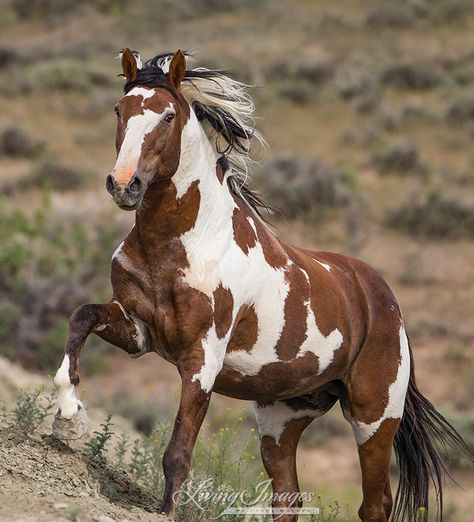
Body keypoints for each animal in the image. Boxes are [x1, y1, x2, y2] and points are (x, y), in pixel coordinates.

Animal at [52, 49, 470, 520]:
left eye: (168, 116)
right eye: (119, 110)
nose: (125, 185)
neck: (181, 242)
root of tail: (386, 303)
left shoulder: (201, 360)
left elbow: (177, 455)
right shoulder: (138, 329)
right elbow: (80, 317)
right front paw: (69, 412)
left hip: (374, 419)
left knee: (374, 504)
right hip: (281, 420)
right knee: (288, 498)